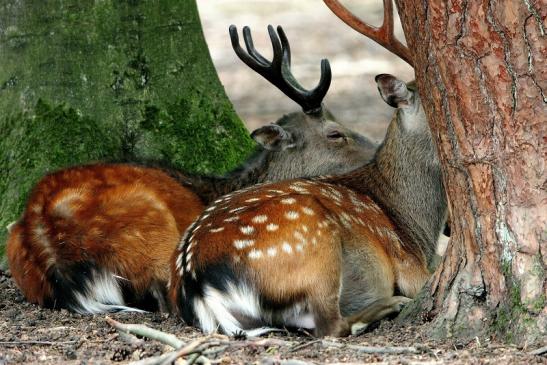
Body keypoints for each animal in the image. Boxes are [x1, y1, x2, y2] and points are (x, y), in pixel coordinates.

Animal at [5, 24, 382, 314]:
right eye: (336, 134)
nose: (378, 148)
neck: (223, 186)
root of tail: (46, 238)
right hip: (152, 228)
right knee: (165, 296)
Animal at [170, 0, 450, 336]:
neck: (414, 226)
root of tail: (199, 285)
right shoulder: (409, 265)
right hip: (313, 240)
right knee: (330, 324)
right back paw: (390, 305)